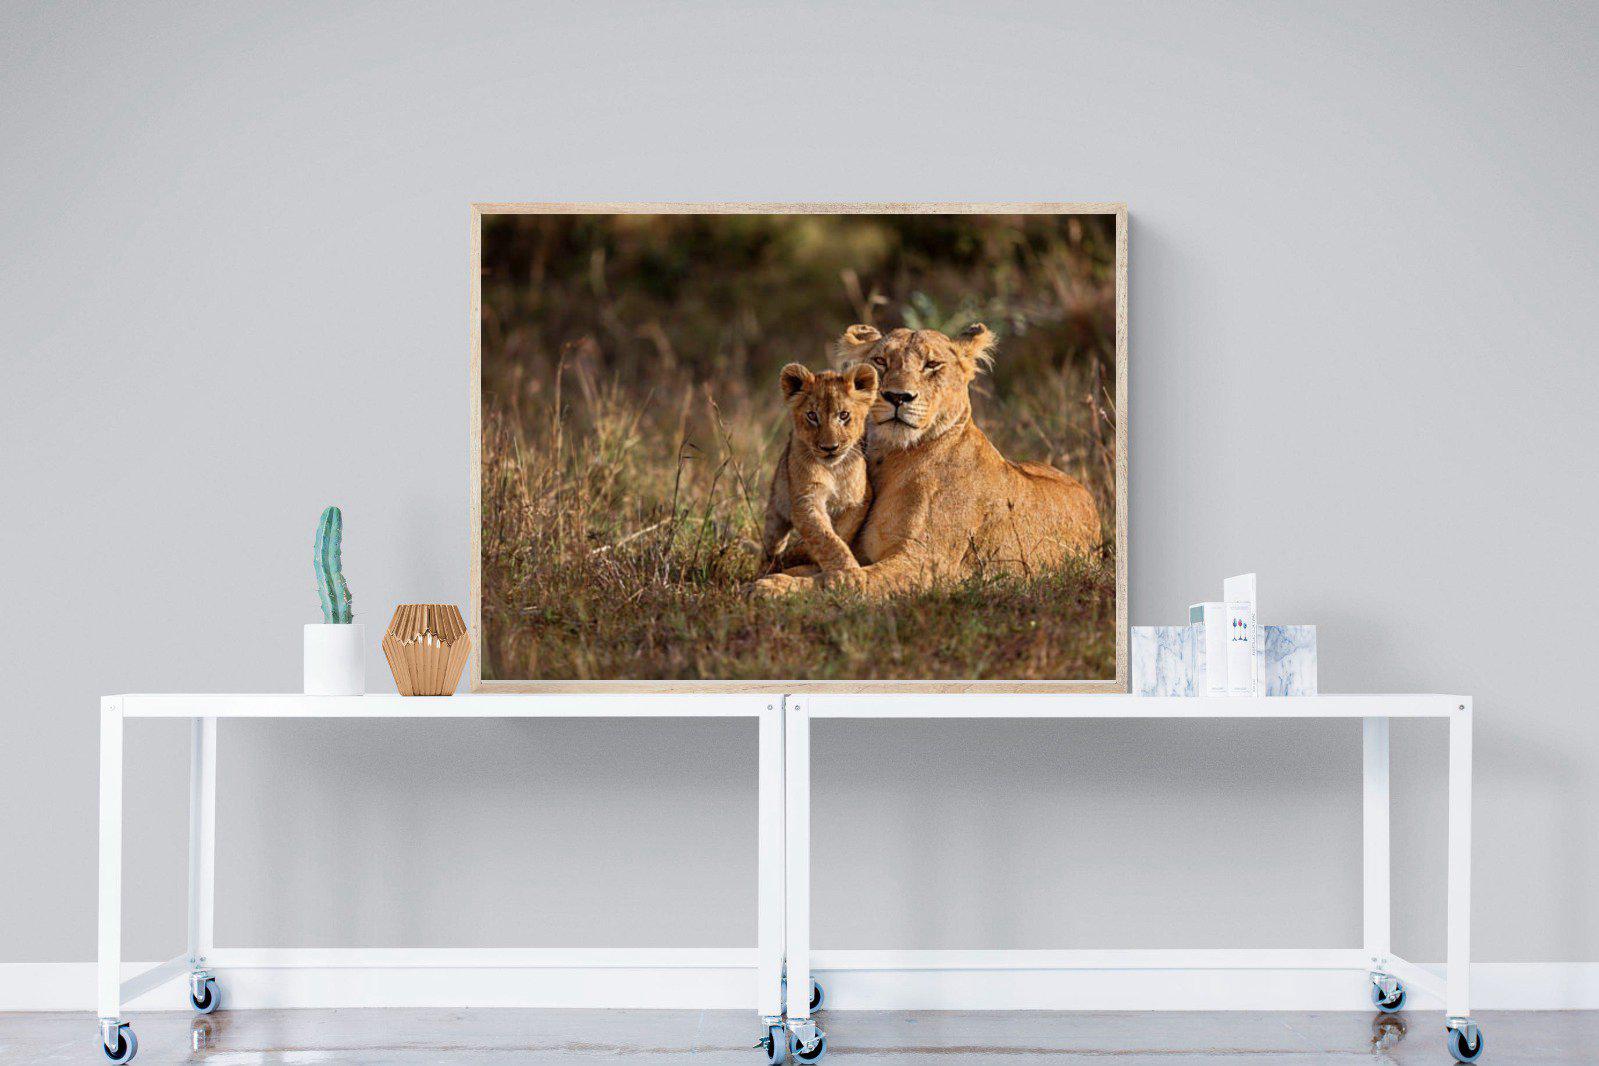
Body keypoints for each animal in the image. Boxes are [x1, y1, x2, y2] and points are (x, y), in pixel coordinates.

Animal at [760, 361, 879, 574]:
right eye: (812, 416)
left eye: (843, 415)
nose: (829, 448)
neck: (834, 470)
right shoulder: (806, 500)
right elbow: (826, 538)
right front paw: (848, 572)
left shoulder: (860, 498)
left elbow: (840, 532)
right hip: (776, 508)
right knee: (771, 545)